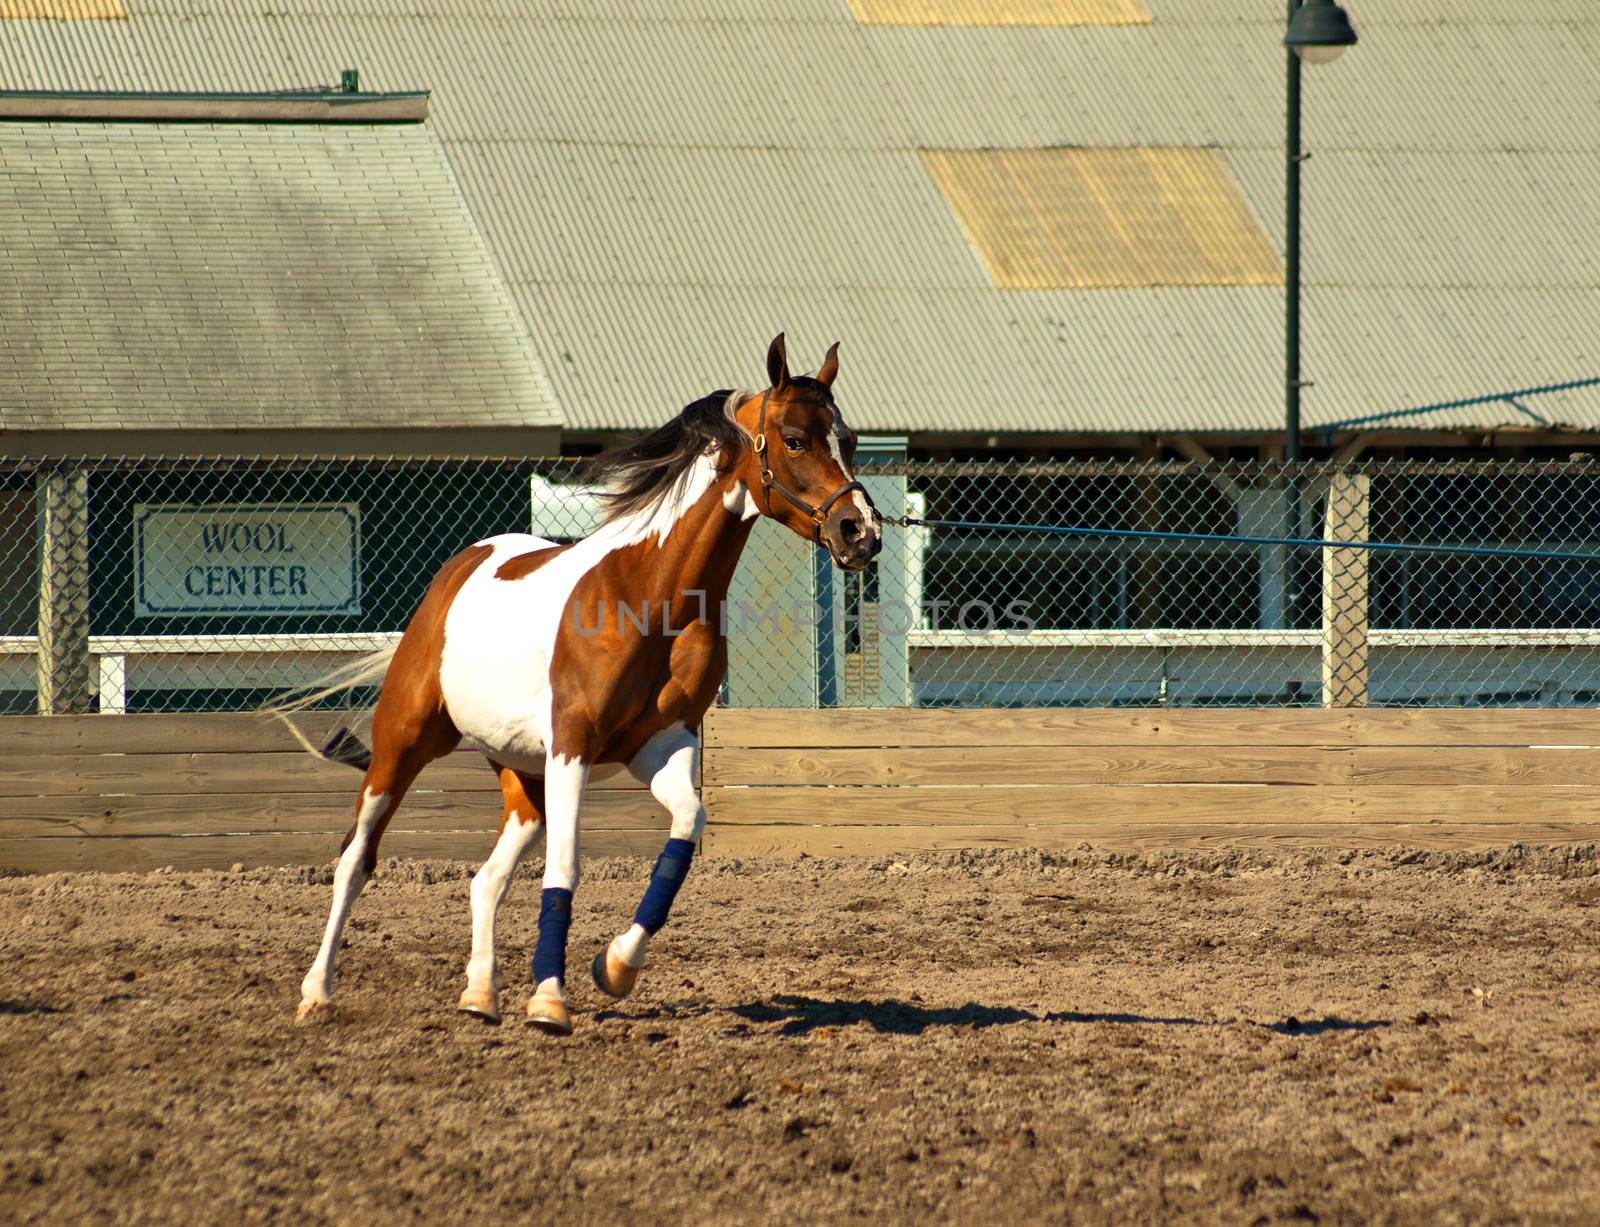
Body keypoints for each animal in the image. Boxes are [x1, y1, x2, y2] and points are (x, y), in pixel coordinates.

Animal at [294, 335, 883, 1036]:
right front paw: (550, 1001)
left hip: (525, 779)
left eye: (847, 438)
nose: (862, 532)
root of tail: (460, 567)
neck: (649, 597)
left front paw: (616, 967)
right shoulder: (573, 744)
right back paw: (317, 993)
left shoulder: (660, 746)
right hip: (403, 746)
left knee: (486, 878)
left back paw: (480, 995)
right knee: (355, 860)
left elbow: (686, 829)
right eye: (794, 439)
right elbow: (566, 867)